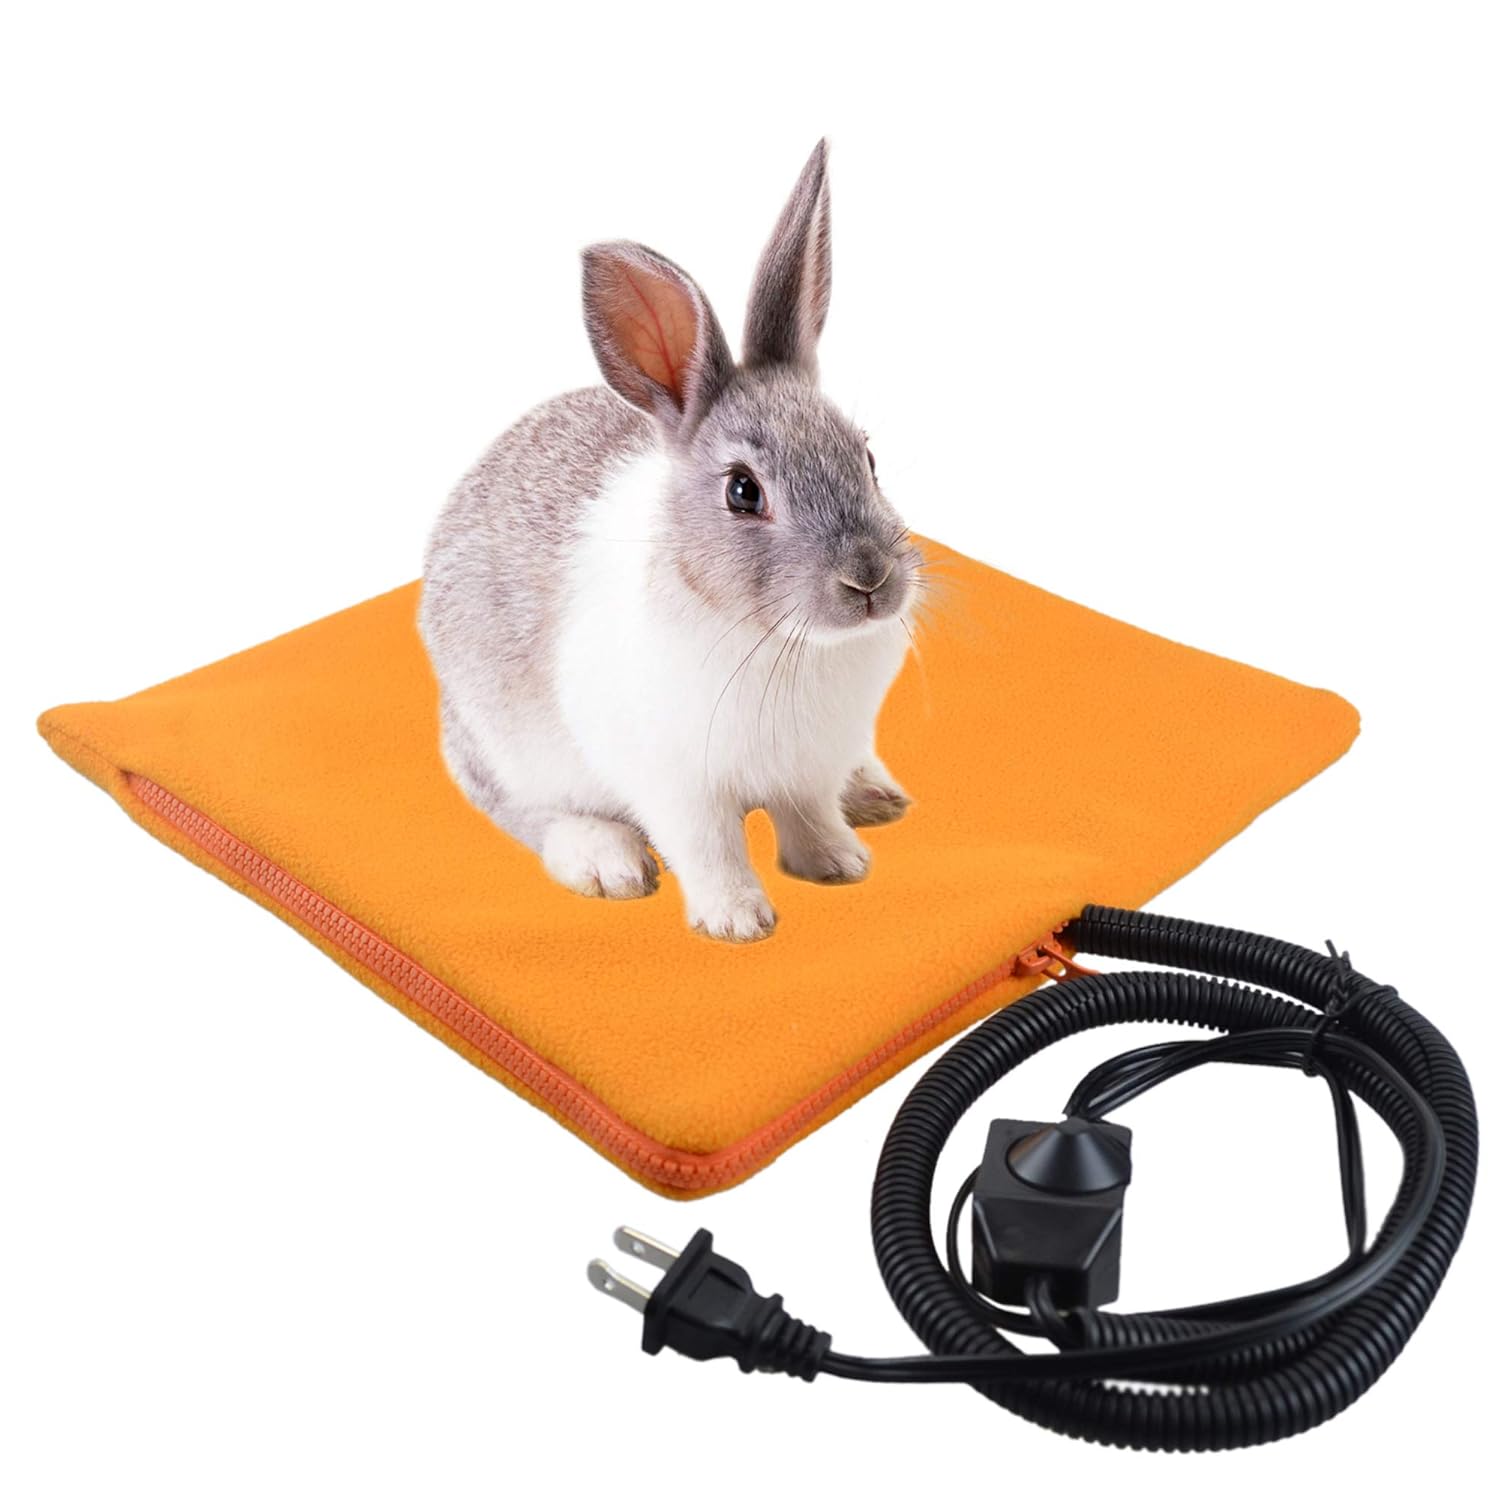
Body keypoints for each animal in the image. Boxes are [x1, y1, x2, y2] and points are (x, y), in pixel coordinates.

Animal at [419, 140, 920, 942]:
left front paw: (839, 865)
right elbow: (709, 847)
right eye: (743, 491)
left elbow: (809, 817)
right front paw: (739, 921)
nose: (870, 579)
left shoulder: (807, 769)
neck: (778, 640)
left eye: (867, 458)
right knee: (524, 811)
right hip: (507, 748)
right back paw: (605, 860)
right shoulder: (676, 783)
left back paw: (873, 795)